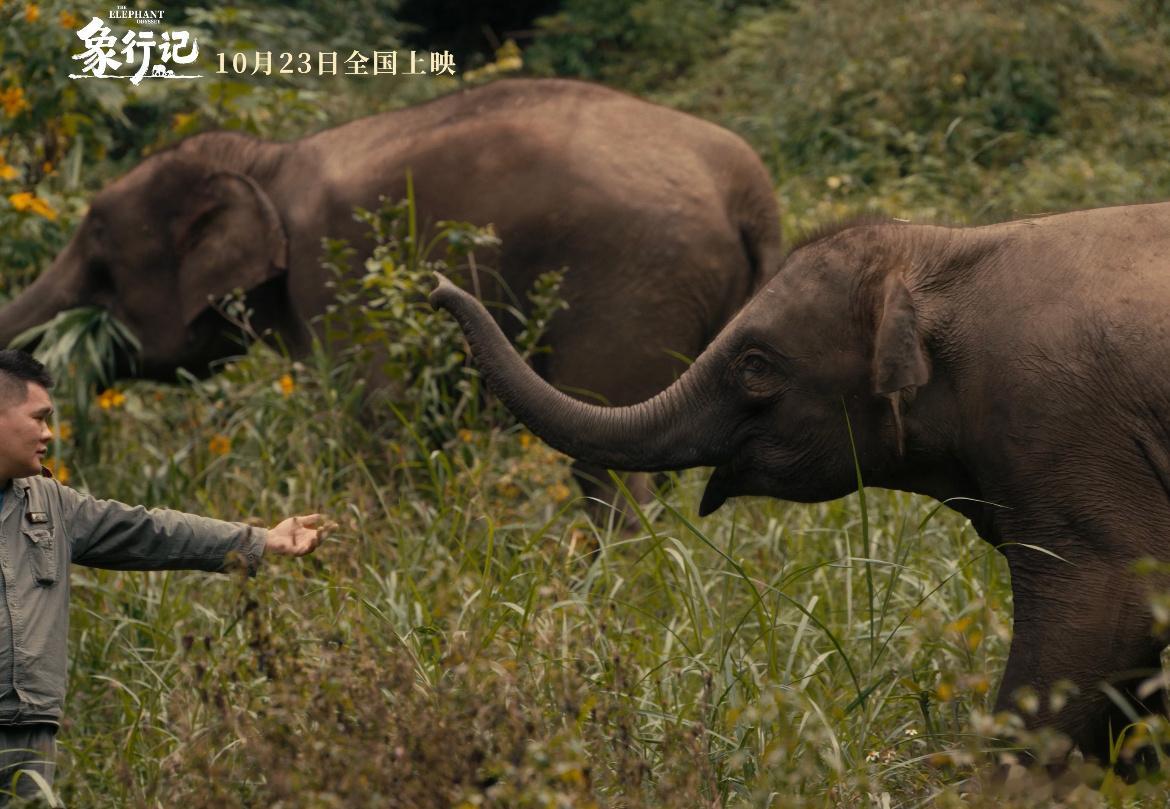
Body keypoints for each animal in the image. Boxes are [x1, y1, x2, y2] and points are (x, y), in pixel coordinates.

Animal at [0, 78, 781, 510]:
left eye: (98, 254)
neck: (265, 160)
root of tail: (748, 191)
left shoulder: (333, 275)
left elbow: (376, 415)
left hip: (631, 286)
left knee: (609, 459)